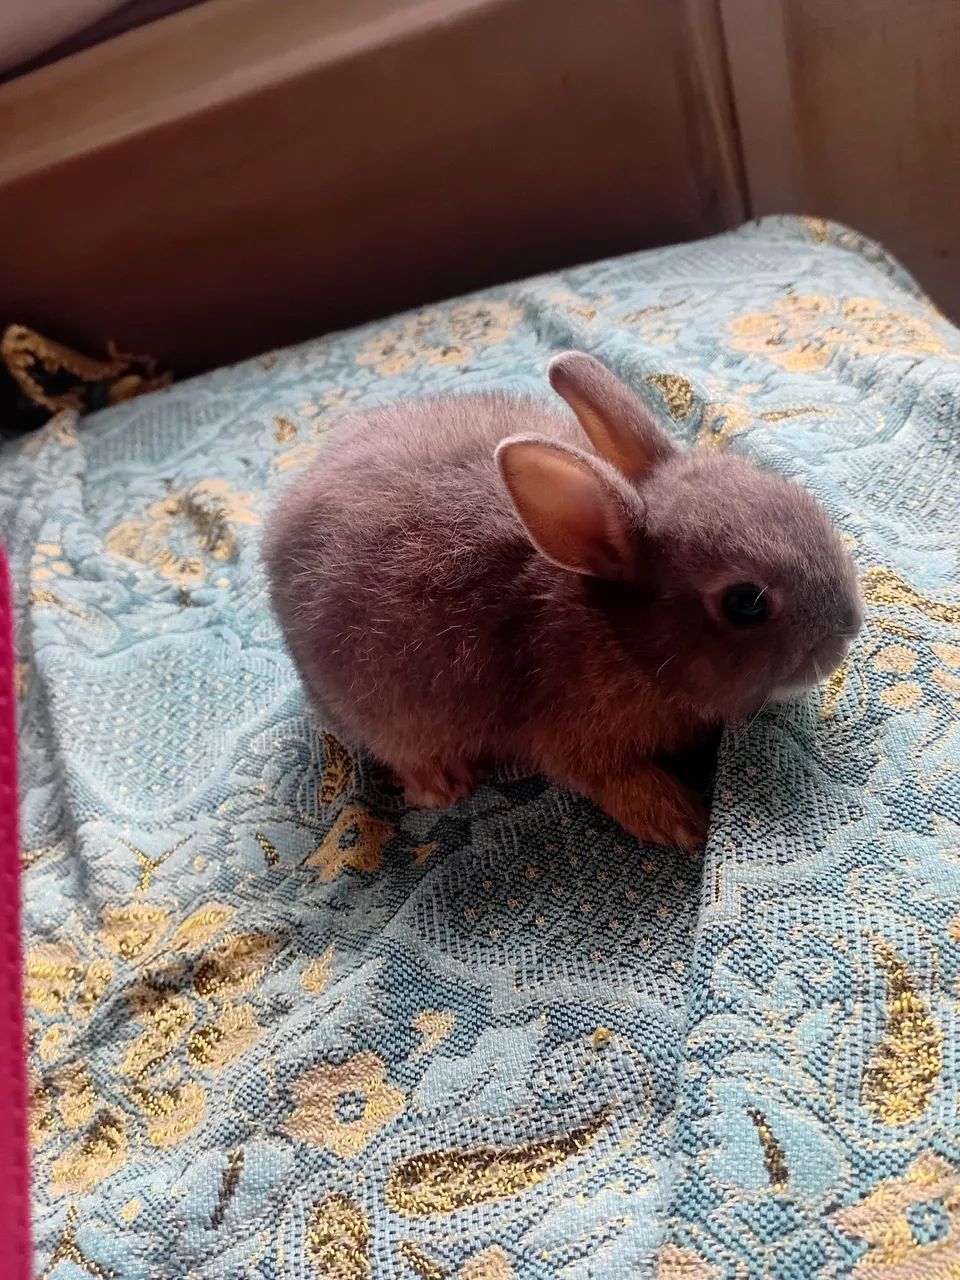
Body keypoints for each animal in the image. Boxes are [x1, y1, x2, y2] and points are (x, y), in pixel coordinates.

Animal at [262, 351, 862, 851]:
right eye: (745, 603)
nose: (849, 629)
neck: (622, 636)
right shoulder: (572, 740)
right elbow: (612, 780)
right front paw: (681, 821)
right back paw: (445, 784)